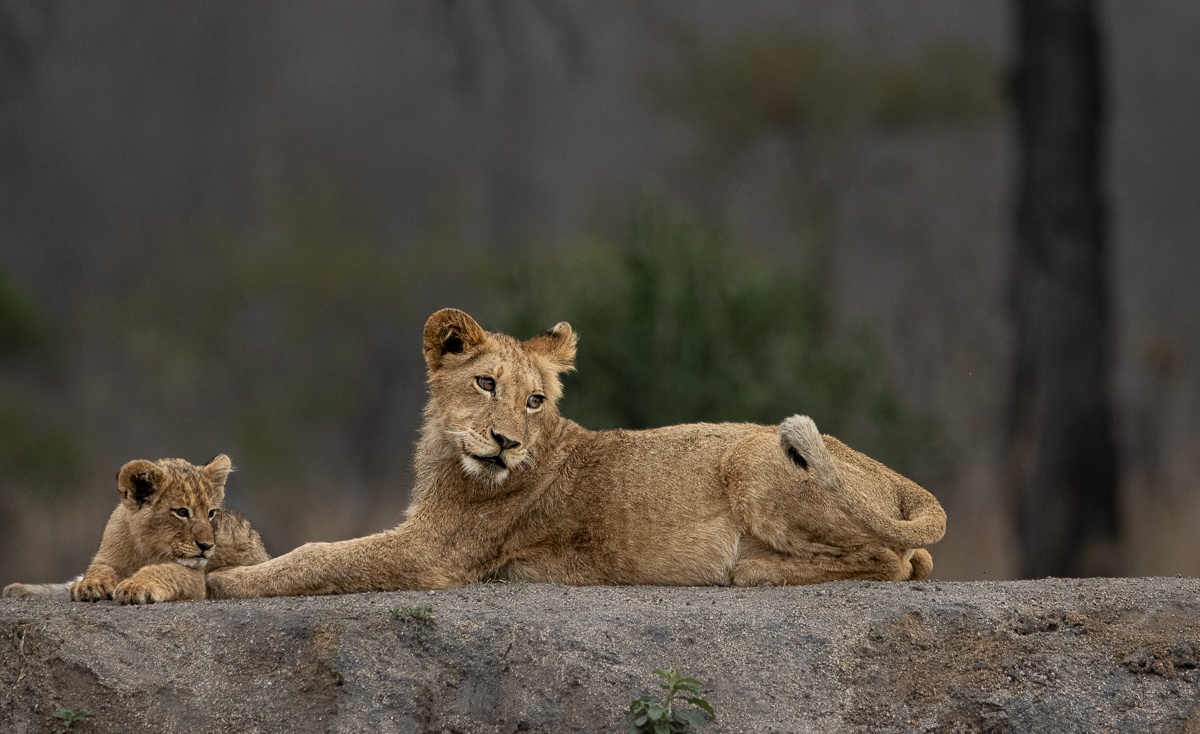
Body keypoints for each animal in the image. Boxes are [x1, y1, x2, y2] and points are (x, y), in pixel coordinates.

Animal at [3, 455, 269, 604]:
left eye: (211, 513)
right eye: (182, 512)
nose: (207, 546)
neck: (144, 545)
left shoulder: (197, 579)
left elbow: (165, 571)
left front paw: (135, 586)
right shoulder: (107, 556)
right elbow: (98, 568)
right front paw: (91, 585)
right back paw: (17, 590)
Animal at [207, 308, 945, 599]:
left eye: (534, 400)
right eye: (486, 383)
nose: (505, 442)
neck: (448, 458)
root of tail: (891, 475)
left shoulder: (436, 552)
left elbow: (321, 555)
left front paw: (224, 581)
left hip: (753, 462)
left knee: (892, 560)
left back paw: (751, 569)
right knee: (916, 559)